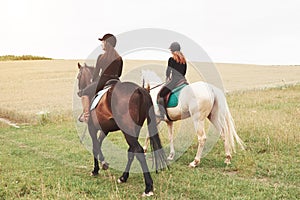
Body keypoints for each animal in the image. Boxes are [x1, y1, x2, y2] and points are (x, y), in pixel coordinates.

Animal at [76, 63, 168, 196]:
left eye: (79, 76)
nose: (79, 92)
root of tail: (139, 90)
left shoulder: (92, 128)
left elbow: (95, 147)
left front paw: (96, 169)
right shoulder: (105, 130)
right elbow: (99, 143)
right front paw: (103, 163)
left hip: (126, 130)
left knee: (138, 151)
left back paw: (148, 187)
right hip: (133, 130)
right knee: (132, 151)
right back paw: (123, 177)